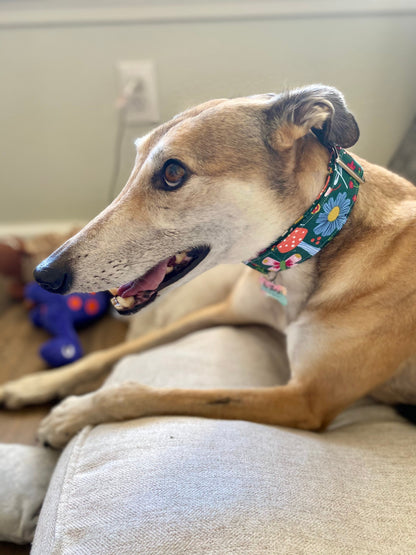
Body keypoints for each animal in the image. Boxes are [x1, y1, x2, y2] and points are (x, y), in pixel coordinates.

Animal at [0, 84, 416, 448]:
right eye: (134, 166)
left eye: (172, 172)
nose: (44, 275)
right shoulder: (226, 309)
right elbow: (107, 353)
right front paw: (31, 385)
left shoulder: (305, 399)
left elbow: (135, 392)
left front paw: (70, 415)